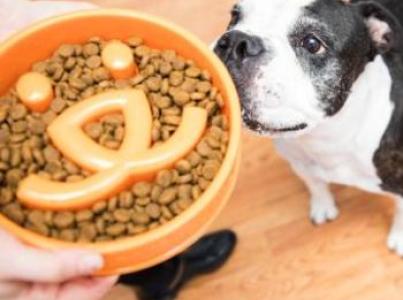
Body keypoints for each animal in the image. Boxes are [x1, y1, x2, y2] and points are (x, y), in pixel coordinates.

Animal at [216, 0, 403, 256]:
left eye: (312, 44)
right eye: (235, 16)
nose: (235, 41)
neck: (325, 136)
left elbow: (401, 210)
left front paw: (399, 238)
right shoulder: (300, 163)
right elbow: (315, 184)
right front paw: (322, 205)